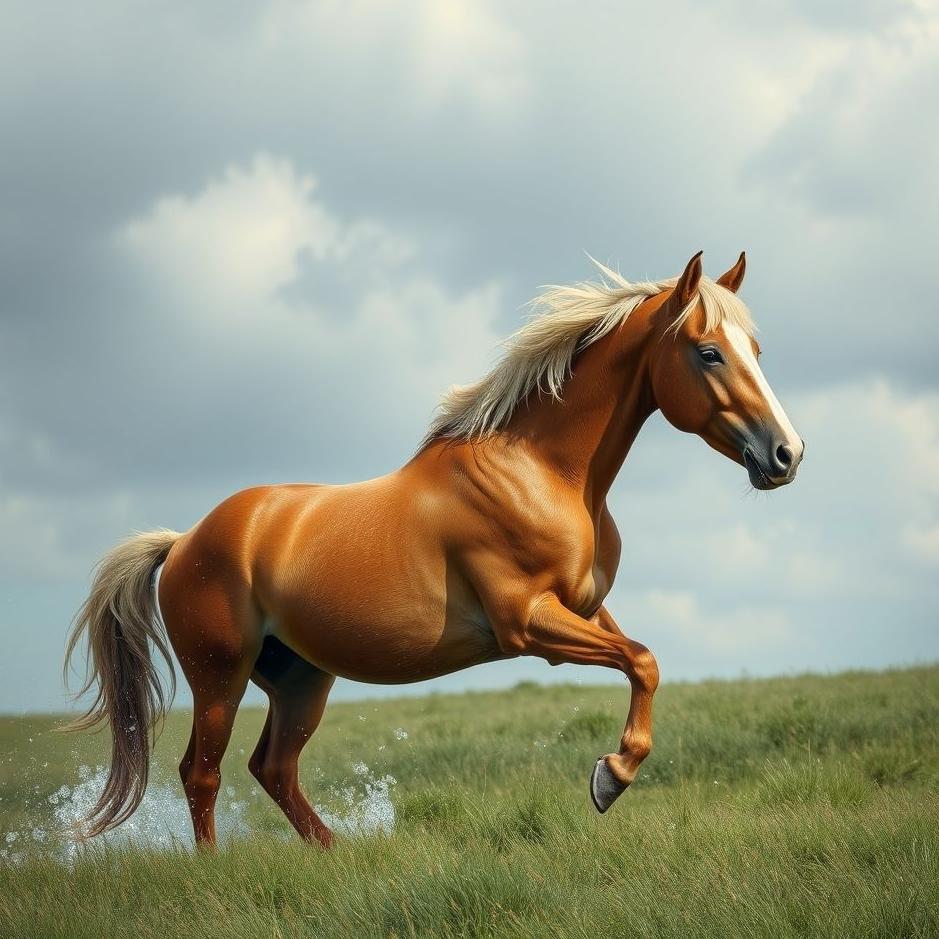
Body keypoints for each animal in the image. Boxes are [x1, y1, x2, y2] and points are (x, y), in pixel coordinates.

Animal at [65, 251, 804, 847]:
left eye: (756, 349)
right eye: (708, 352)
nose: (786, 454)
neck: (540, 472)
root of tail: (183, 540)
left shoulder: (586, 609)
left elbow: (642, 662)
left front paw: (612, 773)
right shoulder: (528, 622)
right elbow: (643, 660)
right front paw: (610, 777)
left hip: (300, 678)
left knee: (271, 768)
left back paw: (338, 855)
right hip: (220, 674)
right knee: (204, 772)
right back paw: (219, 866)